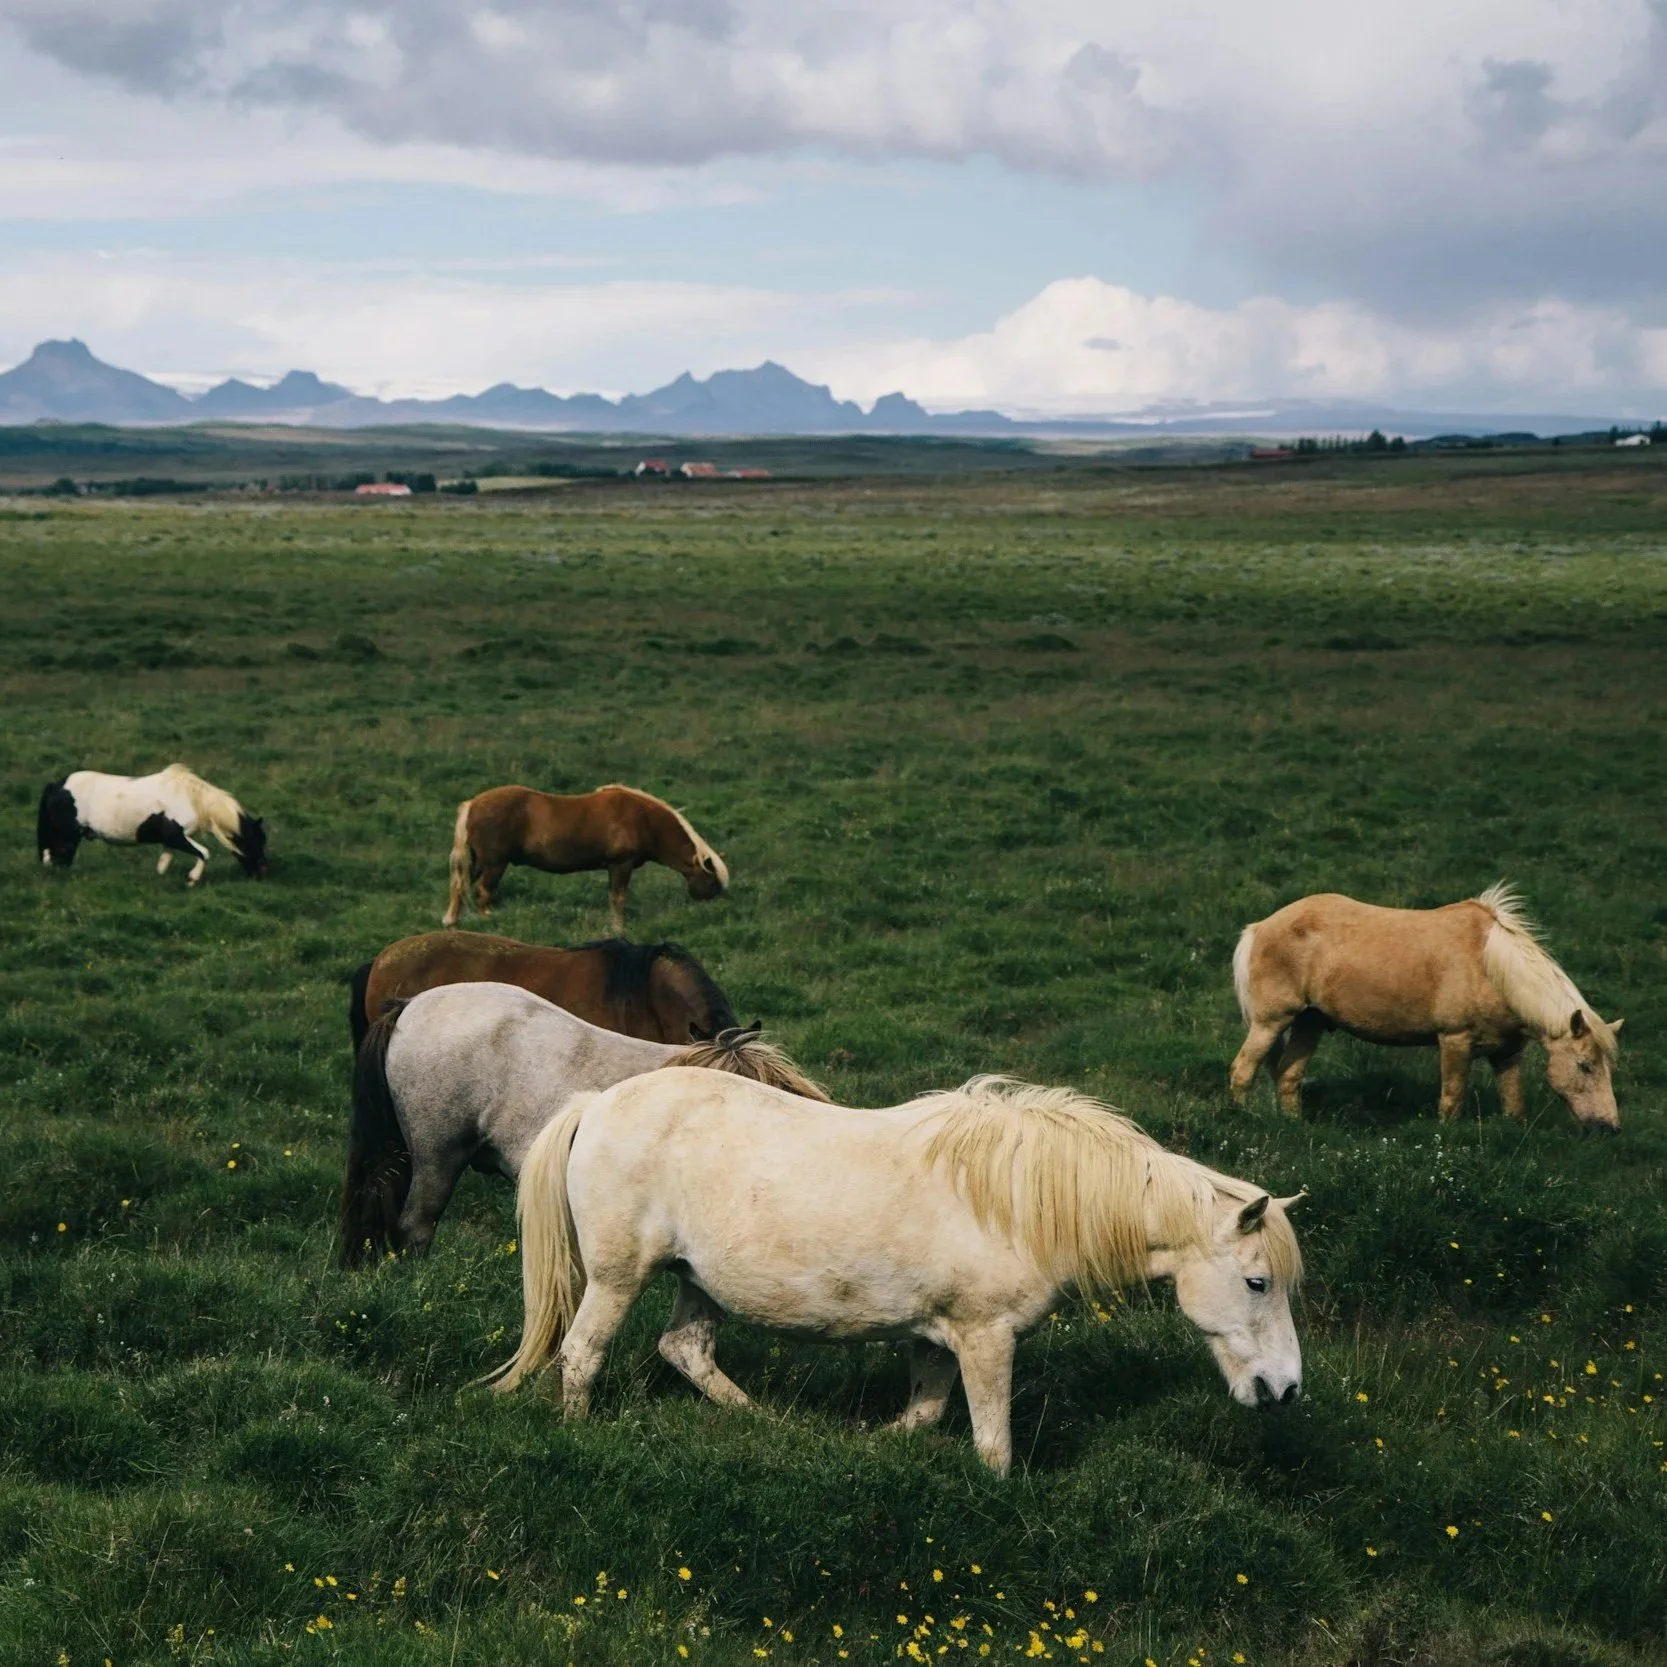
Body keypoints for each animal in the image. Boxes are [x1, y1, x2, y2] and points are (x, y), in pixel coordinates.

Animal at [36, 763, 268, 884]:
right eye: (258, 841)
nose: (262, 872)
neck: (192, 799)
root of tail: (56, 785)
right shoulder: (175, 835)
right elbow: (204, 853)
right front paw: (192, 879)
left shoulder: (170, 840)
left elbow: (164, 861)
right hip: (67, 837)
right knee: (55, 859)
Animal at [442, 783, 728, 934]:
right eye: (712, 882)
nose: (711, 912)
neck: (643, 819)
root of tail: (473, 804)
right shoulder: (620, 865)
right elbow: (618, 898)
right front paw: (618, 929)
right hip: (494, 864)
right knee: (482, 892)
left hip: (478, 862)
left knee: (460, 887)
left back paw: (453, 921)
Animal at [490, 1071, 1304, 1476]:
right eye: (1257, 1282)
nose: (1286, 1390)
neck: (1016, 1199)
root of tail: (597, 1103)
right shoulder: (985, 1337)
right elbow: (992, 1446)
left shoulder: (937, 1337)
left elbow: (922, 1414)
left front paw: (875, 1445)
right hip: (618, 1276)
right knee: (582, 1352)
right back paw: (577, 1431)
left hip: (698, 1280)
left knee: (684, 1349)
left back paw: (766, 1422)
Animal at [1229, 883, 1622, 1128]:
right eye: (1585, 1066)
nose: (1609, 1127)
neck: (1491, 967)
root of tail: (1260, 927)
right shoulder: (1454, 1041)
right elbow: (1452, 1098)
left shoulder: (1507, 1052)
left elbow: (1515, 1106)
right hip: (1271, 1021)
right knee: (1242, 1071)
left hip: (1309, 1022)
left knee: (1288, 1077)